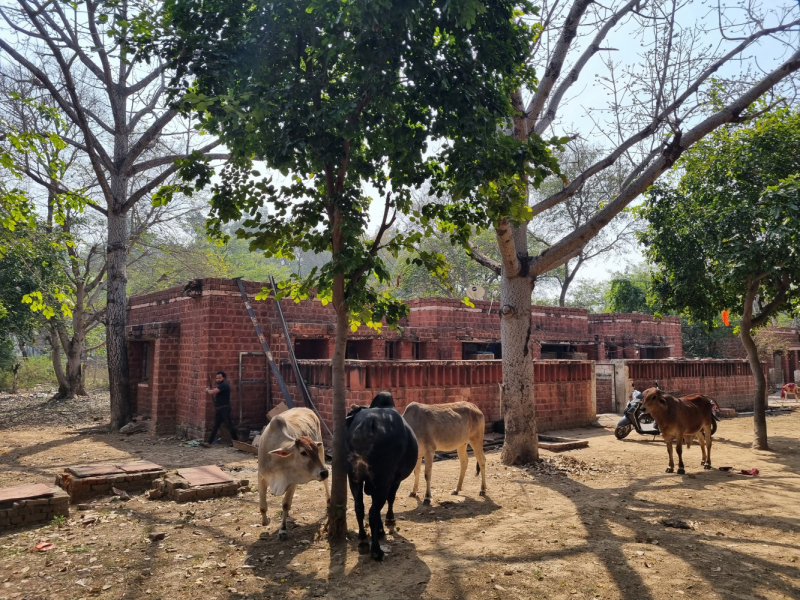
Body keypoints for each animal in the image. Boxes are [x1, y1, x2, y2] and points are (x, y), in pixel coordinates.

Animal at [258, 408, 330, 540]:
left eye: (315, 450)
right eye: (303, 452)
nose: (323, 473)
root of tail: (306, 409)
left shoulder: (292, 480)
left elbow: (285, 504)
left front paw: (282, 530)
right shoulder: (261, 477)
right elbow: (263, 506)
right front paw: (266, 521)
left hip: (322, 455)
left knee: (326, 482)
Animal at [346, 400, 418, 560]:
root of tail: (367, 422)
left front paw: (380, 531)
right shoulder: (394, 480)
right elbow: (390, 499)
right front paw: (389, 520)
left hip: (354, 479)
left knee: (359, 507)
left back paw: (363, 541)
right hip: (382, 481)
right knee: (373, 512)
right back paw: (377, 551)